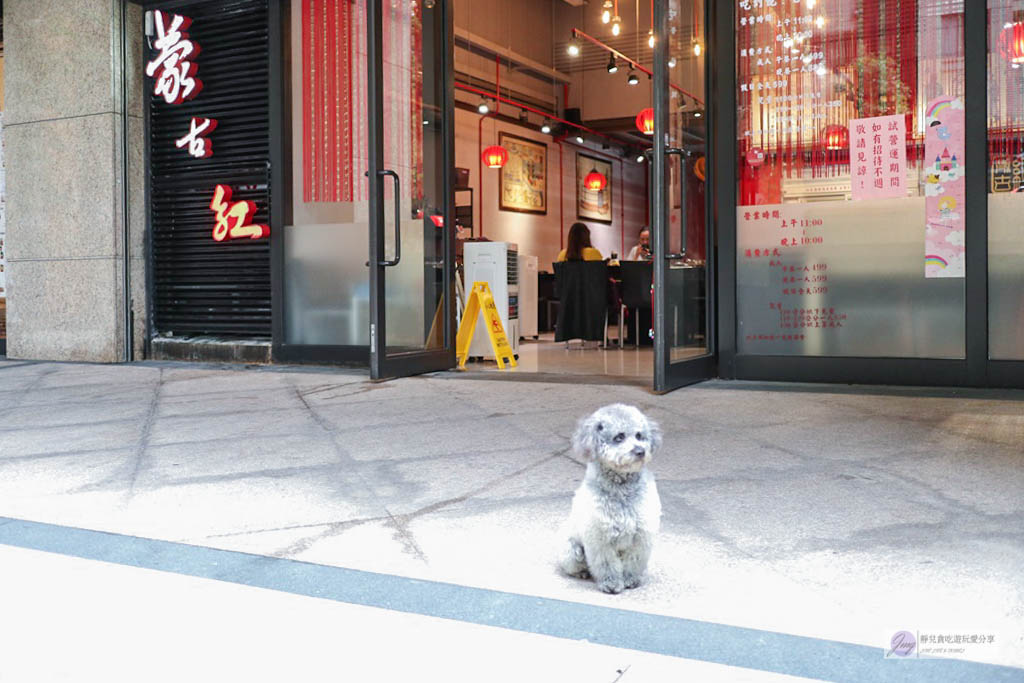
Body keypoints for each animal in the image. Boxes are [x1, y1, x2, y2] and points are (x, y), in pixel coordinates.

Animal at [561, 405, 663, 593]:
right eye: (619, 437)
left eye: (639, 435)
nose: (640, 451)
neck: (622, 490)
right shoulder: (600, 538)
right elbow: (606, 564)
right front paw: (611, 583)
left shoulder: (641, 536)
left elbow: (633, 562)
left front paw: (631, 580)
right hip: (571, 551)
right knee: (577, 565)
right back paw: (582, 573)